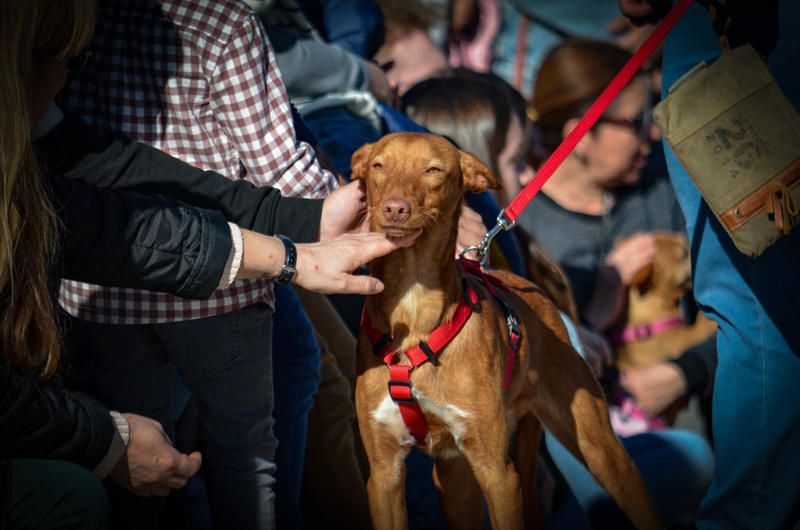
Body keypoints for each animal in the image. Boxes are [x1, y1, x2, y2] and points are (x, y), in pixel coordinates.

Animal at [352, 132, 664, 528]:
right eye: (378, 166)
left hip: (599, 449)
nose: (395, 208)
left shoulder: (497, 472)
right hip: (454, 481)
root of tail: (527, 283)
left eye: (433, 170)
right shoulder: (383, 474)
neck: (413, 301)